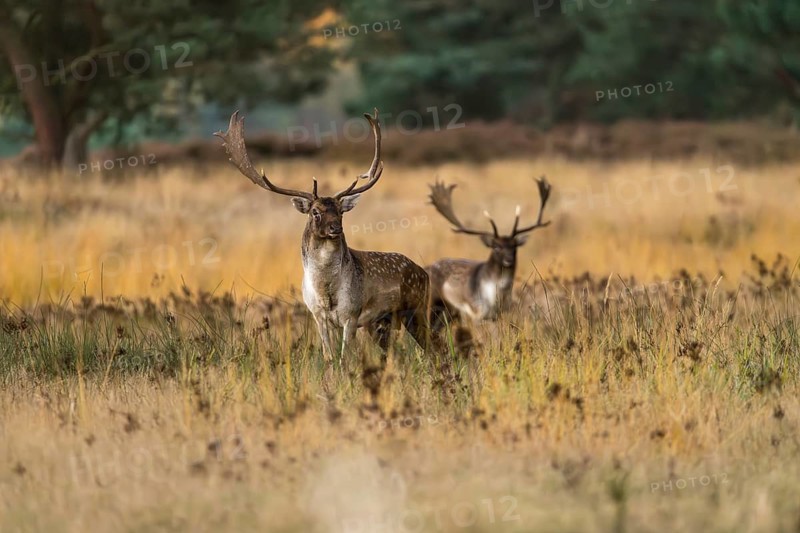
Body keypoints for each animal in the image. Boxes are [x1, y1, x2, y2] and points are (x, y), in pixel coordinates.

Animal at [215, 109, 431, 362]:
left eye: (340, 211)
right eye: (315, 212)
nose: (335, 228)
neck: (327, 292)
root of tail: (424, 272)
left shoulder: (351, 314)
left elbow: (344, 357)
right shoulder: (318, 316)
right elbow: (329, 356)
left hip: (418, 309)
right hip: (382, 323)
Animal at [426, 177, 552, 323]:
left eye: (514, 246)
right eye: (496, 247)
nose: (509, 259)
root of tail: (427, 267)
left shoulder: (499, 314)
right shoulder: (475, 312)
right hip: (433, 301)